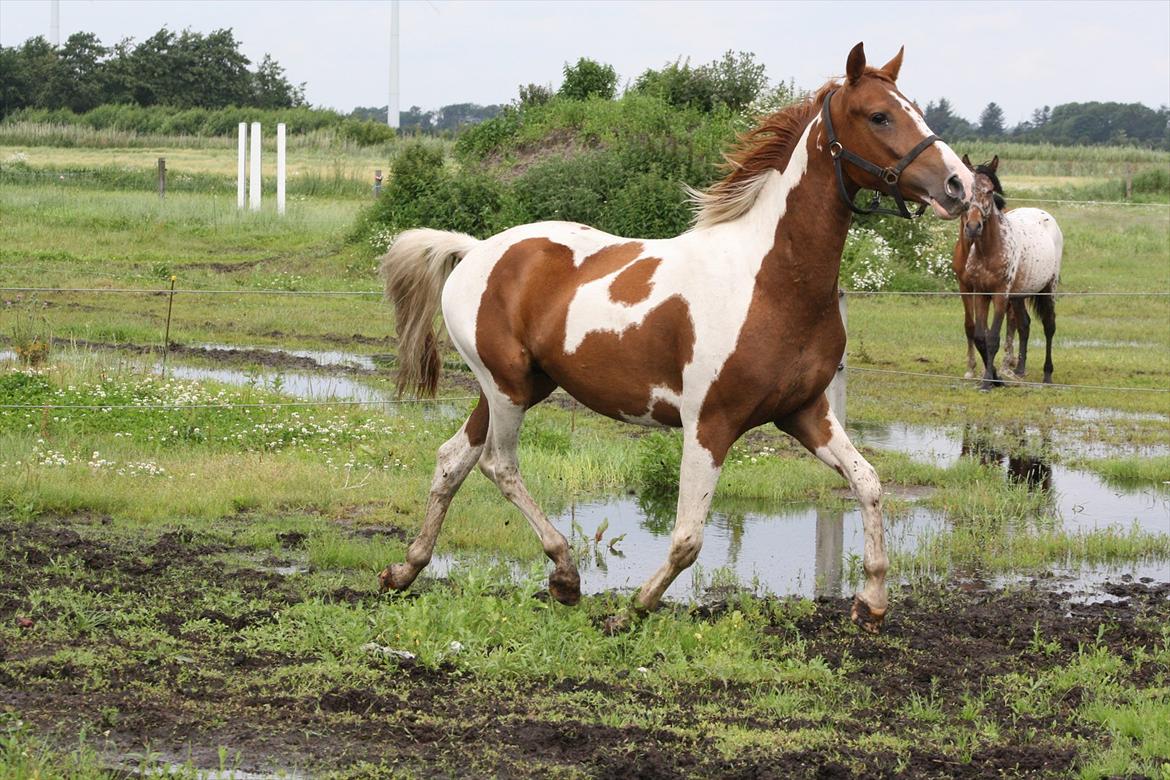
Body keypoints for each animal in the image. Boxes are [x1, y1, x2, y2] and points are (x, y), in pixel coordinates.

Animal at [379, 44, 973, 636]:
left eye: (917, 108)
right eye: (879, 115)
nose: (960, 186)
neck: (773, 281)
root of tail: (475, 250)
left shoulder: (806, 411)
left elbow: (869, 483)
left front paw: (871, 601)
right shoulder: (710, 423)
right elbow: (688, 537)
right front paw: (632, 609)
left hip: (521, 386)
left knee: (453, 459)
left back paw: (405, 570)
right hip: (507, 388)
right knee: (498, 465)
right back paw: (565, 576)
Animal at [954, 155, 1067, 390]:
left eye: (989, 191)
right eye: (967, 192)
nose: (973, 227)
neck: (989, 250)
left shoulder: (1000, 294)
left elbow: (993, 337)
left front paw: (988, 382)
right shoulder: (980, 293)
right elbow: (980, 336)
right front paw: (993, 378)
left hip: (1048, 288)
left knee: (1049, 326)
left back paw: (1047, 375)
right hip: (1020, 294)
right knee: (1024, 325)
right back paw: (1019, 369)